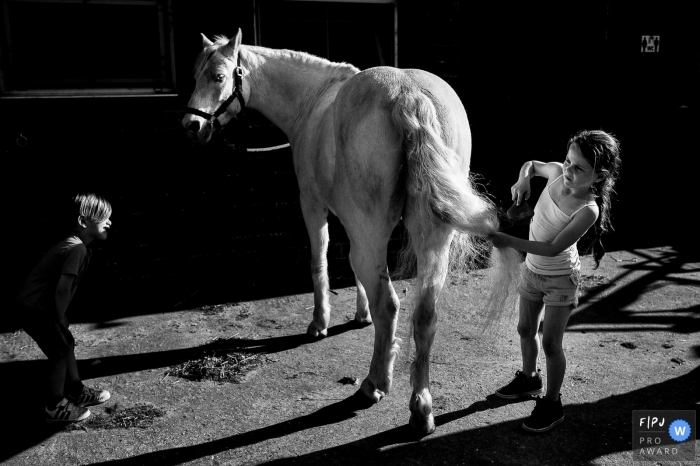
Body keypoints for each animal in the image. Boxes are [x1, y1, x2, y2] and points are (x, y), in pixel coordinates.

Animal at [180, 31, 498, 436]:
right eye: (196, 75)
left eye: (218, 76)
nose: (192, 125)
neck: (312, 100)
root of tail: (409, 95)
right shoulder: (349, 219)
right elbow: (352, 269)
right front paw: (360, 315)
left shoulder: (313, 204)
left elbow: (320, 261)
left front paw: (320, 323)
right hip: (429, 239)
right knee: (424, 314)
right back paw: (421, 409)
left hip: (373, 229)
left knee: (390, 304)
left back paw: (374, 384)